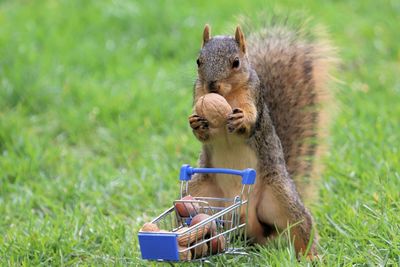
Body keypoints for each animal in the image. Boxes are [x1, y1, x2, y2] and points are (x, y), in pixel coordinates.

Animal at [187, 23, 334, 260]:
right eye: (199, 61)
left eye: (236, 62)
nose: (212, 85)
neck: (228, 96)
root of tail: (249, 224)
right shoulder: (198, 93)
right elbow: (204, 135)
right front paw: (195, 123)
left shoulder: (253, 96)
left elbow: (250, 123)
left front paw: (241, 119)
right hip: (201, 196)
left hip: (280, 197)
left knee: (301, 225)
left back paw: (310, 256)